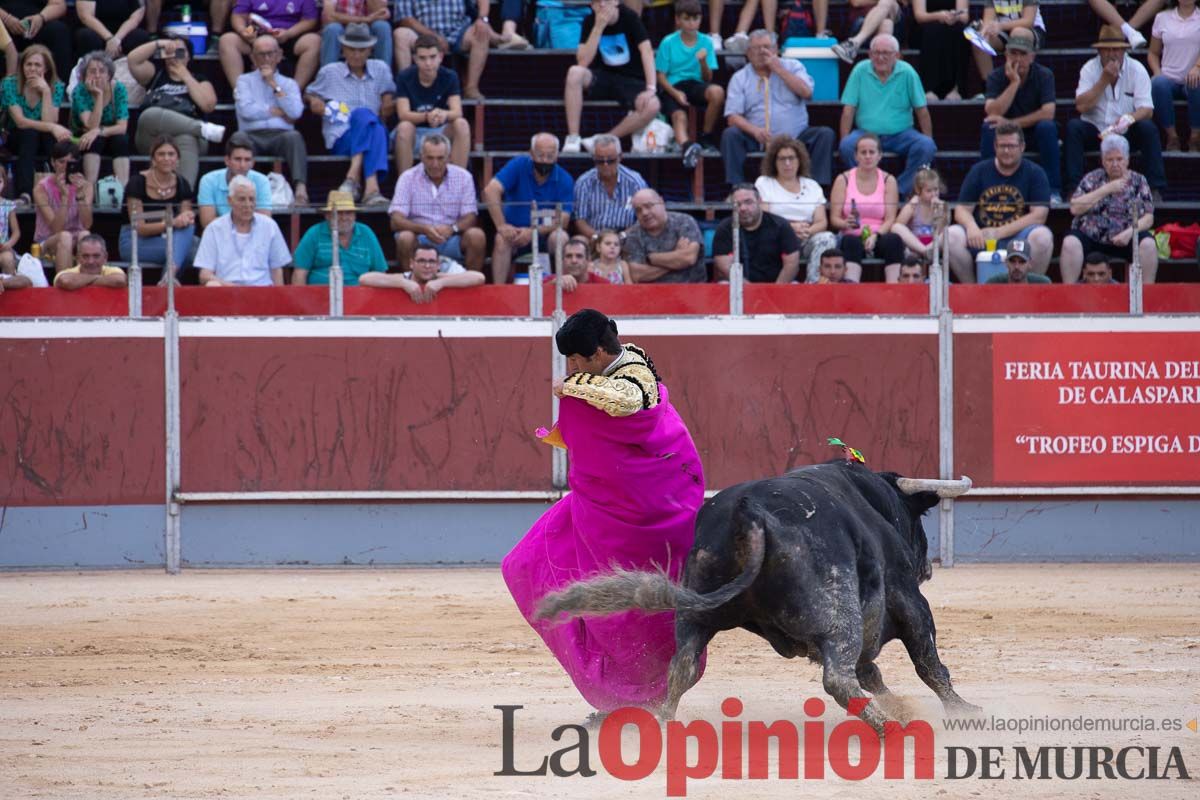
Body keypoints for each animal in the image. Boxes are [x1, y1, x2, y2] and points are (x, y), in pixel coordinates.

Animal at [540, 462, 979, 734]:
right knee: (838, 678)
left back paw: (664, 724)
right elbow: (928, 663)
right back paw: (891, 729)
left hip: (697, 615)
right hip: (838, 609)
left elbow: (874, 672)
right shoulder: (908, 598)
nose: (927, 569)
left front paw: (901, 704)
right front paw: (963, 711)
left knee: (680, 668)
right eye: (918, 520)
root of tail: (749, 516)